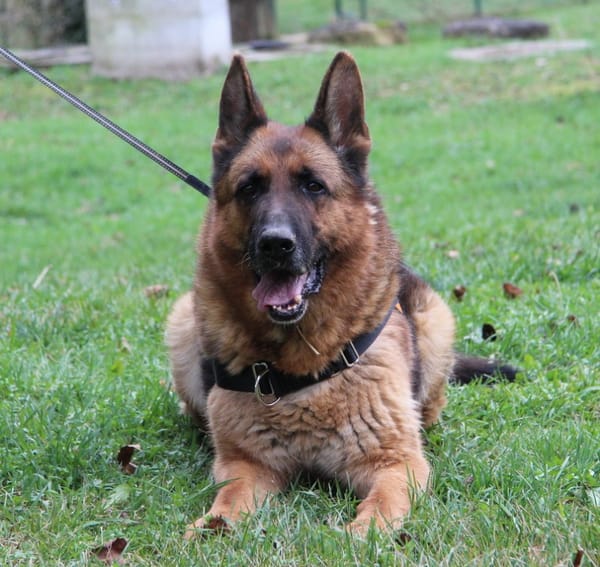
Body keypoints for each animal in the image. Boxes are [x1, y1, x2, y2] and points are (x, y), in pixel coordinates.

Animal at [166, 52, 515, 537]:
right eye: (249, 188)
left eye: (313, 185)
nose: (275, 244)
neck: (299, 365)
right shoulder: (246, 465)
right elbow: (230, 497)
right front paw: (214, 526)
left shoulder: (395, 463)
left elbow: (383, 502)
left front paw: (362, 534)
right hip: (182, 321)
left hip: (435, 322)